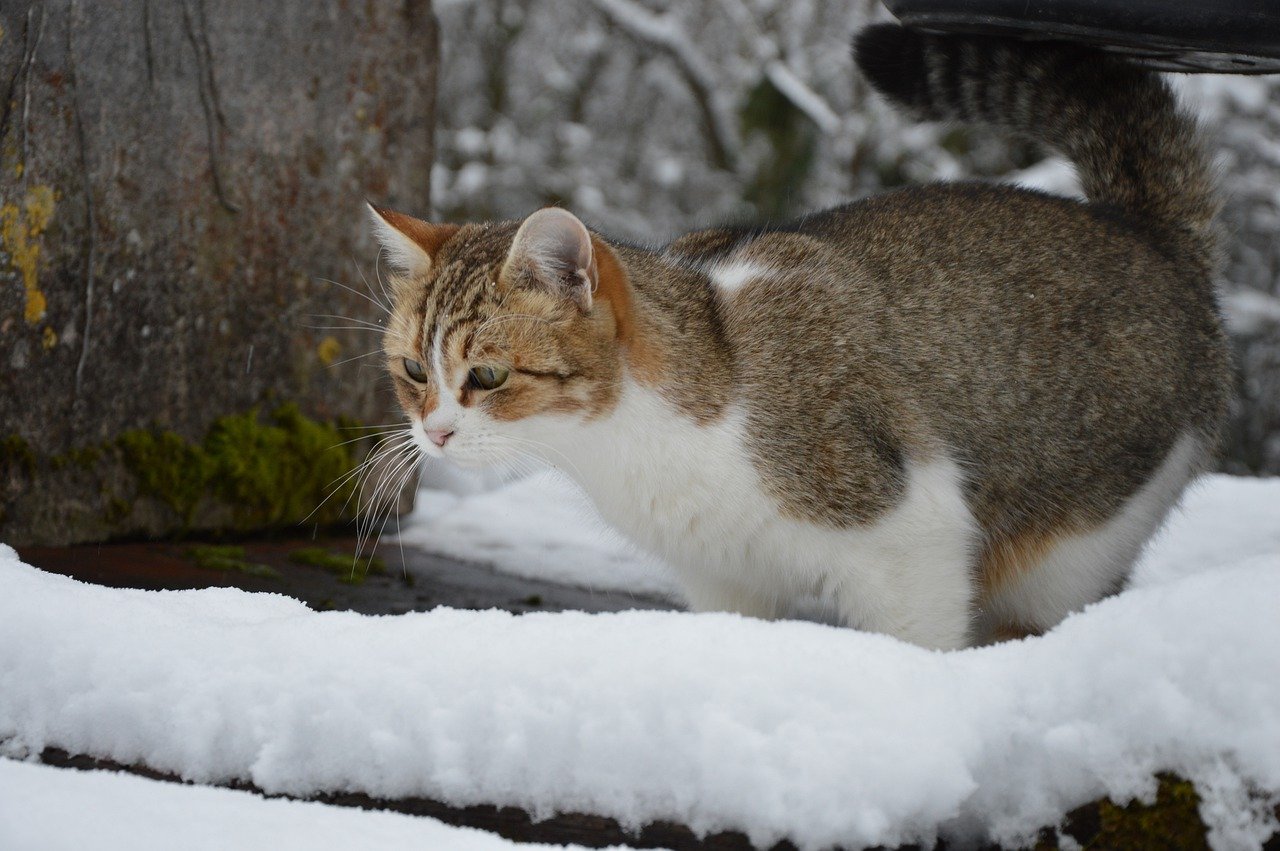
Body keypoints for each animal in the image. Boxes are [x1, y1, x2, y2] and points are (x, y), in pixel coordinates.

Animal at [368, 24, 1228, 650]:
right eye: (413, 369)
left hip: (1070, 542)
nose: (432, 432)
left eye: (486, 376)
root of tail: (1148, 231)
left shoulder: (911, 543)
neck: (636, 442)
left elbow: (914, 642)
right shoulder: (723, 578)